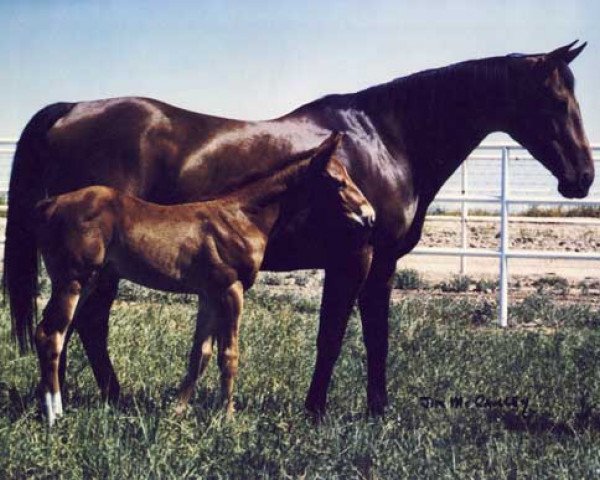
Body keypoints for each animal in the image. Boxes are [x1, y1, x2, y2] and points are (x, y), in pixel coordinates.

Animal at [32, 133, 372, 426]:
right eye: (336, 180)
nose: (368, 215)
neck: (241, 217)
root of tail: (50, 204)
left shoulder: (209, 294)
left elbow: (201, 353)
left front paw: (177, 410)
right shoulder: (231, 290)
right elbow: (229, 354)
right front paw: (228, 417)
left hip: (86, 282)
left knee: (59, 331)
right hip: (73, 280)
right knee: (50, 334)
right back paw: (52, 414)